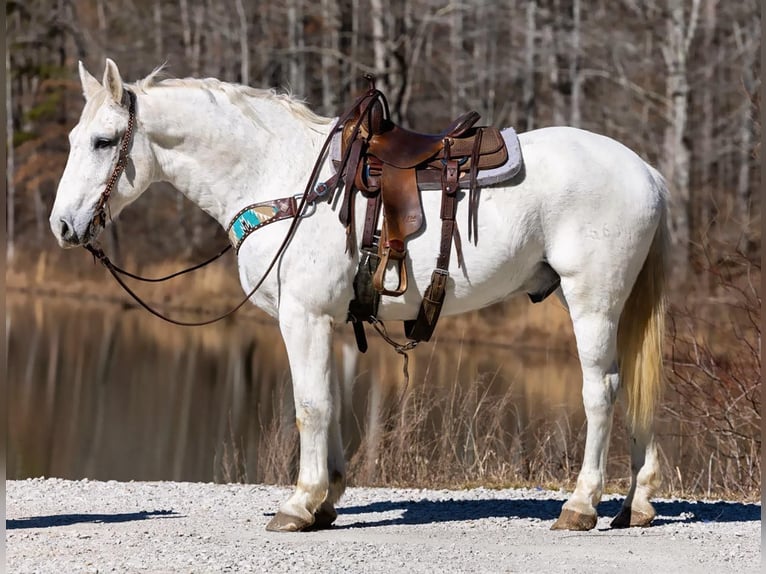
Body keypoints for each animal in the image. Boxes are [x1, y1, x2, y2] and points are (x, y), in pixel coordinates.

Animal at [52, 60, 664, 532]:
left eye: (104, 142)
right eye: (74, 141)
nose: (62, 226)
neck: (281, 177)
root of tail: (647, 171)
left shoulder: (302, 317)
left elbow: (310, 405)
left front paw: (300, 504)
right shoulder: (326, 322)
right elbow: (330, 401)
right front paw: (327, 499)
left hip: (592, 302)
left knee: (602, 390)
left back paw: (581, 506)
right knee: (634, 385)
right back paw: (636, 504)